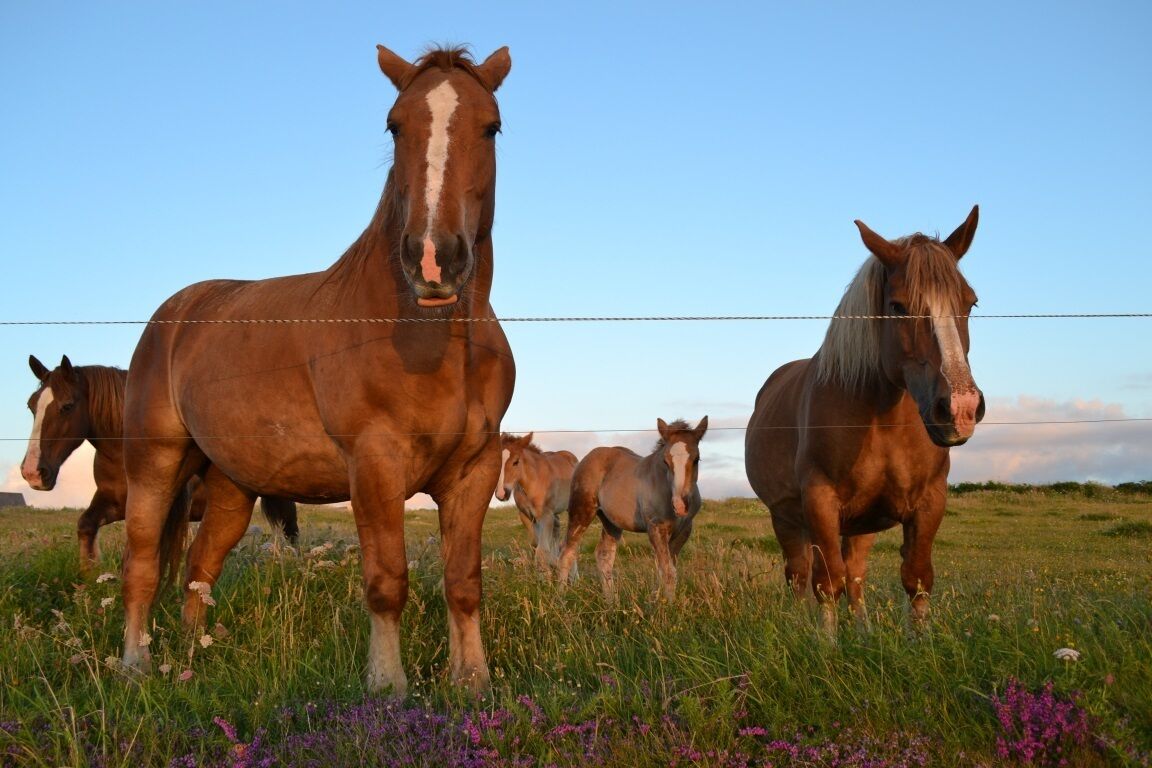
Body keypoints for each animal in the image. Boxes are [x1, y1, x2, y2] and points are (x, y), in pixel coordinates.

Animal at [20, 354, 299, 571]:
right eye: (31, 405)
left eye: (67, 406)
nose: (32, 472)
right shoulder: (113, 501)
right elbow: (86, 526)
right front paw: (91, 577)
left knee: (291, 532)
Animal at [118, 45, 515, 696]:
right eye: (394, 125)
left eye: (491, 126)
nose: (434, 260)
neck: (433, 339)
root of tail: (174, 315)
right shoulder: (374, 465)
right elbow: (387, 581)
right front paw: (387, 686)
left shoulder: (473, 470)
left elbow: (463, 582)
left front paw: (472, 682)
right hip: (154, 464)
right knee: (143, 563)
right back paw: (135, 664)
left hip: (233, 485)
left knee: (199, 569)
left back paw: (193, 659)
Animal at [494, 432, 578, 573]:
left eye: (516, 461)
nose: (501, 493)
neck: (533, 482)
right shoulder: (526, 516)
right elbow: (535, 545)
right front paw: (547, 570)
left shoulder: (546, 516)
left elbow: (542, 550)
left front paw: (546, 576)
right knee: (556, 531)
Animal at [556, 417, 708, 601]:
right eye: (665, 461)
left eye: (697, 459)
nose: (680, 505)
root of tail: (584, 459)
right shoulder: (655, 528)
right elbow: (668, 572)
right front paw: (670, 606)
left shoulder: (684, 530)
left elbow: (665, 569)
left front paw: (656, 602)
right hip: (581, 511)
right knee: (567, 551)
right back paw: (561, 599)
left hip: (611, 522)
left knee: (604, 555)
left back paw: (611, 603)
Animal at [744, 206, 983, 633]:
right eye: (898, 305)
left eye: (970, 303)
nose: (960, 409)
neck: (883, 420)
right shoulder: (819, 502)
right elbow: (826, 583)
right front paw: (825, 642)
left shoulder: (930, 502)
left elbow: (916, 579)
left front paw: (920, 642)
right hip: (786, 517)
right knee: (799, 575)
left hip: (860, 524)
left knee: (854, 574)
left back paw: (863, 632)